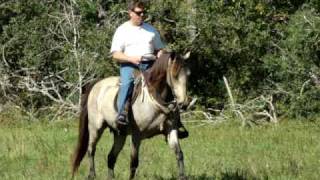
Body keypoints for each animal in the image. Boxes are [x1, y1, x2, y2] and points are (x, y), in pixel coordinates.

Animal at [72, 51, 190, 179]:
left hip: (120, 134)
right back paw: (92, 175)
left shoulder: (171, 130)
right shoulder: (136, 135)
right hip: (95, 128)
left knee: (111, 157)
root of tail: (96, 84)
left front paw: (183, 176)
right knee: (91, 150)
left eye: (188, 74)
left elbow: (179, 153)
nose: (184, 103)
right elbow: (134, 162)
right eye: (174, 75)